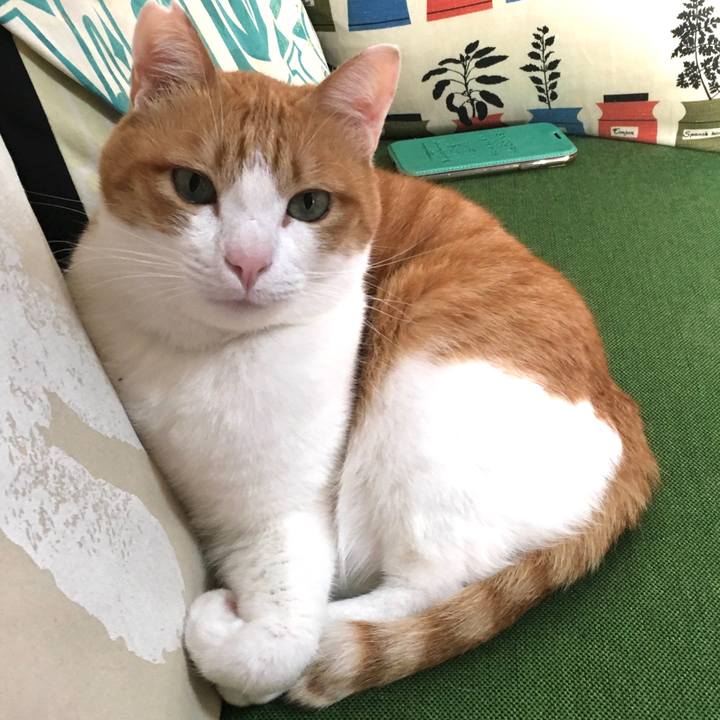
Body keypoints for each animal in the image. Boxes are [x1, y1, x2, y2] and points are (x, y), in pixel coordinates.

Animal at [66, 2, 658, 709]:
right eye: (191, 185)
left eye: (309, 204)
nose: (247, 261)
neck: (209, 357)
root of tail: (619, 407)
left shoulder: (291, 520)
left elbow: (272, 648)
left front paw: (234, 632)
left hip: (419, 398)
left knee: (427, 586)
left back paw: (335, 638)